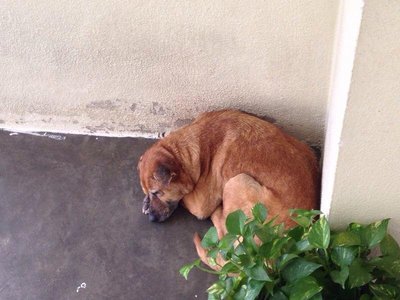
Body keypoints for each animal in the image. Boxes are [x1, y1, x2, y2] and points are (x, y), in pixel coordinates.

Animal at [138, 109, 318, 264]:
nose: (152, 219)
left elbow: (186, 198)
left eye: (157, 192)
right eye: (149, 192)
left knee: (226, 236)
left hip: (237, 181)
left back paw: (218, 212)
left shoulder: (200, 205)